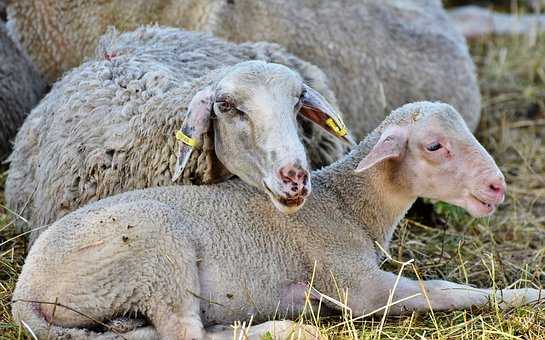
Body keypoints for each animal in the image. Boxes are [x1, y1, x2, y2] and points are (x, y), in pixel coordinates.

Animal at [12, 102, 540, 340]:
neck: (347, 204)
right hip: (155, 255)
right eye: (434, 146)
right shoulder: (356, 285)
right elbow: (442, 290)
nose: (497, 187)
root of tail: (25, 289)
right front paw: (525, 295)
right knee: (184, 332)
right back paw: (285, 328)